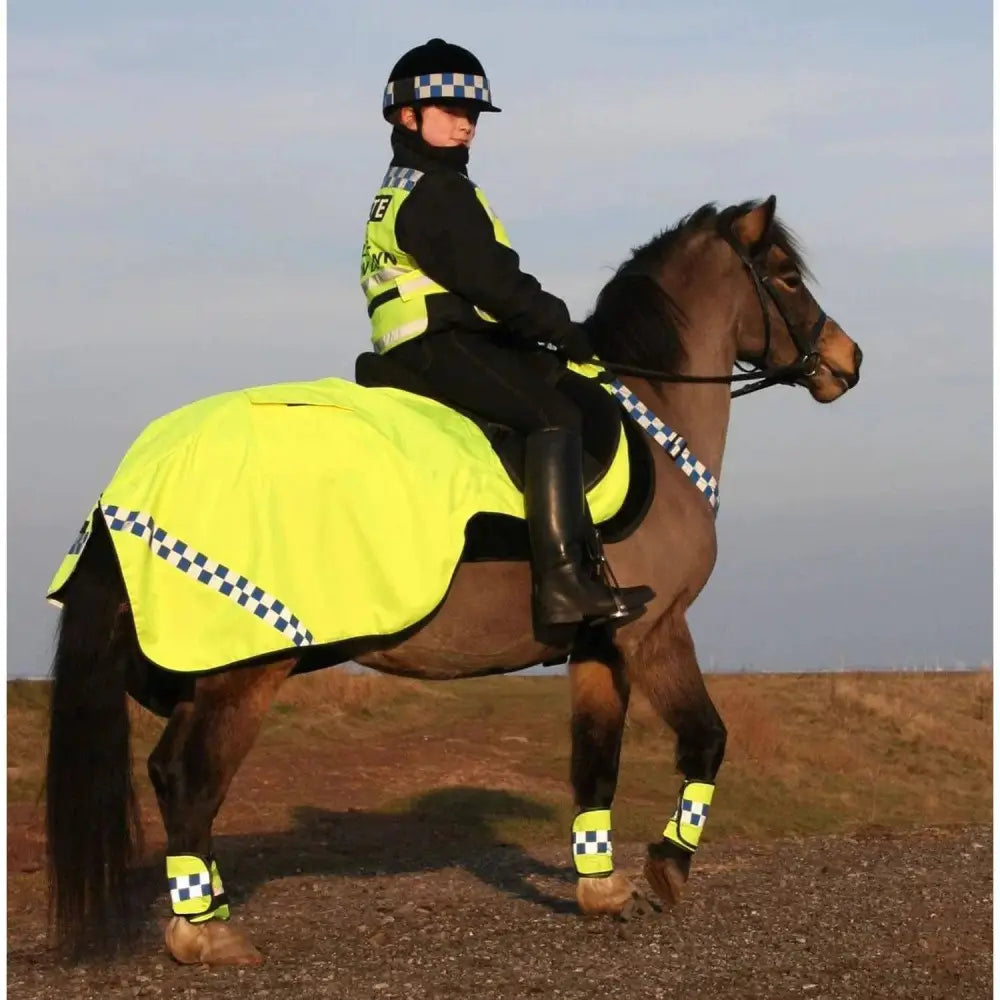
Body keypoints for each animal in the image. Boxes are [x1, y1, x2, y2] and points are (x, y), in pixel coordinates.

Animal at [45, 191, 860, 964]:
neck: (654, 422)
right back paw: (204, 935)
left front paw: (601, 890)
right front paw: (667, 866)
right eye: (787, 277)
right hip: (245, 666)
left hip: (209, 663)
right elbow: (705, 739)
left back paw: (207, 910)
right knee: (188, 778)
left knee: (173, 776)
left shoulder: (599, 642)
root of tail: (136, 473)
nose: (847, 360)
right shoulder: (654, 631)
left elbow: (595, 763)